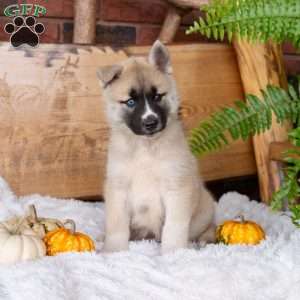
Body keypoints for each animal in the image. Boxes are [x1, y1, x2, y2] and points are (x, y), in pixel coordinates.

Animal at [97, 38, 214, 252]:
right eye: (131, 102)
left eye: (157, 96)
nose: (150, 122)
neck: (145, 147)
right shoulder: (117, 188)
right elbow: (116, 224)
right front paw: (114, 251)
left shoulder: (177, 186)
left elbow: (174, 226)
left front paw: (174, 252)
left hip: (206, 207)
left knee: (209, 226)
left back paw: (204, 240)